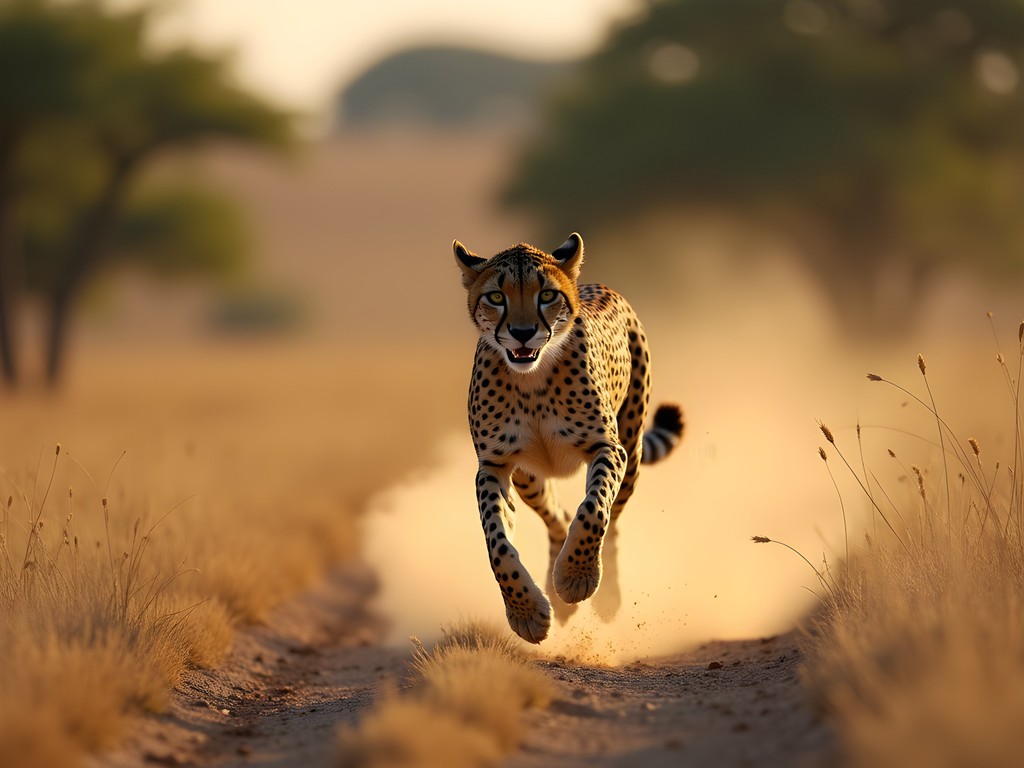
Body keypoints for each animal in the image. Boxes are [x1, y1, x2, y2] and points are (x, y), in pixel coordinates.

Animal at [453, 232, 685, 644]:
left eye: (547, 294)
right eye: (496, 296)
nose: (523, 333)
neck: (532, 380)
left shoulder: (608, 447)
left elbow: (594, 510)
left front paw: (577, 578)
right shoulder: (495, 465)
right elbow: (497, 544)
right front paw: (526, 611)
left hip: (632, 449)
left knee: (613, 520)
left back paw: (604, 596)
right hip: (529, 477)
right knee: (557, 517)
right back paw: (554, 593)